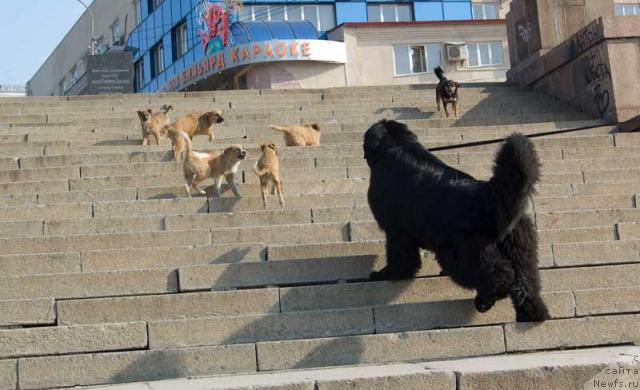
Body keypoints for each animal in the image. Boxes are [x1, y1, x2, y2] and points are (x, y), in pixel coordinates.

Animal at [364, 119, 552, 322]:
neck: (399, 144)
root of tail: (488, 196)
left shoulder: (396, 231)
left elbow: (399, 256)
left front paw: (388, 274)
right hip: (521, 248)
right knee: (525, 280)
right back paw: (532, 313)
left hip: (459, 252)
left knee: (500, 275)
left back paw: (486, 299)